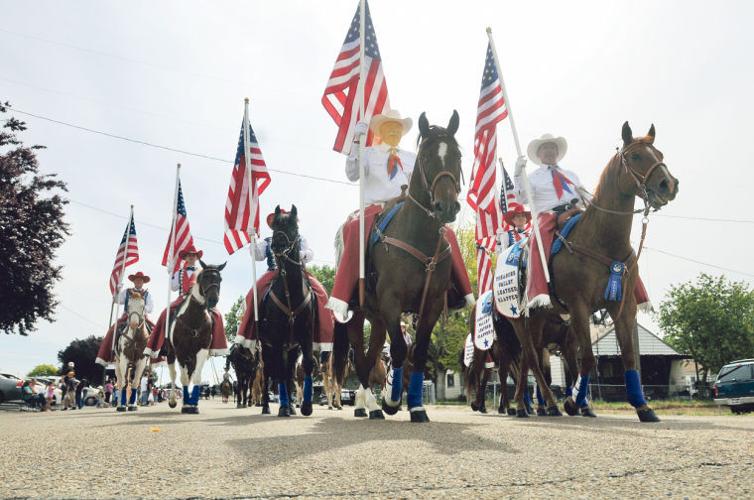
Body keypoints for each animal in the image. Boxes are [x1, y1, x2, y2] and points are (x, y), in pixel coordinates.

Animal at [169, 262, 228, 414]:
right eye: (204, 278)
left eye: (220, 279)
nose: (213, 299)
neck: (194, 318)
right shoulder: (181, 351)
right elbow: (183, 378)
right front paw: (185, 405)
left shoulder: (202, 350)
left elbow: (196, 377)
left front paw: (193, 405)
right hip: (171, 353)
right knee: (174, 374)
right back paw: (173, 401)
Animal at [260, 205, 316, 416]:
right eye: (275, 226)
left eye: (294, 227)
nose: (277, 246)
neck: (290, 293)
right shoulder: (276, 338)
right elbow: (279, 373)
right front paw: (283, 406)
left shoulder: (306, 335)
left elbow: (307, 365)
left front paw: (306, 406)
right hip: (267, 349)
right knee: (270, 373)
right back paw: (268, 406)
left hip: (291, 348)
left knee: (289, 371)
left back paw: (292, 406)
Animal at [334, 110, 464, 422]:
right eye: (426, 157)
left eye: (457, 156)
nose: (446, 207)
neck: (419, 237)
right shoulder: (392, 302)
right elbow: (399, 349)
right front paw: (391, 401)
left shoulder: (430, 304)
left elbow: (418, 352)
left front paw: (416, 406)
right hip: (359, 314)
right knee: (360, 356)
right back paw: (370, 405)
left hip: (377, 318)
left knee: (370, 356)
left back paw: (366, 405)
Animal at [512, 122, 676, 422]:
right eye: (635, 156)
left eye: (659, 153)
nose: (668, 184)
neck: (602, 241)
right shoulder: (579, 306)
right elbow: (587, 358)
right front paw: (573, 401)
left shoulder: (622, 306)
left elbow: (629, 357)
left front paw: (642, 406)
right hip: (521, 321)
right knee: (530, 360)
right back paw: (533, 404)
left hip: (539, 321)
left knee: (532, 359)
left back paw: (537, 404)